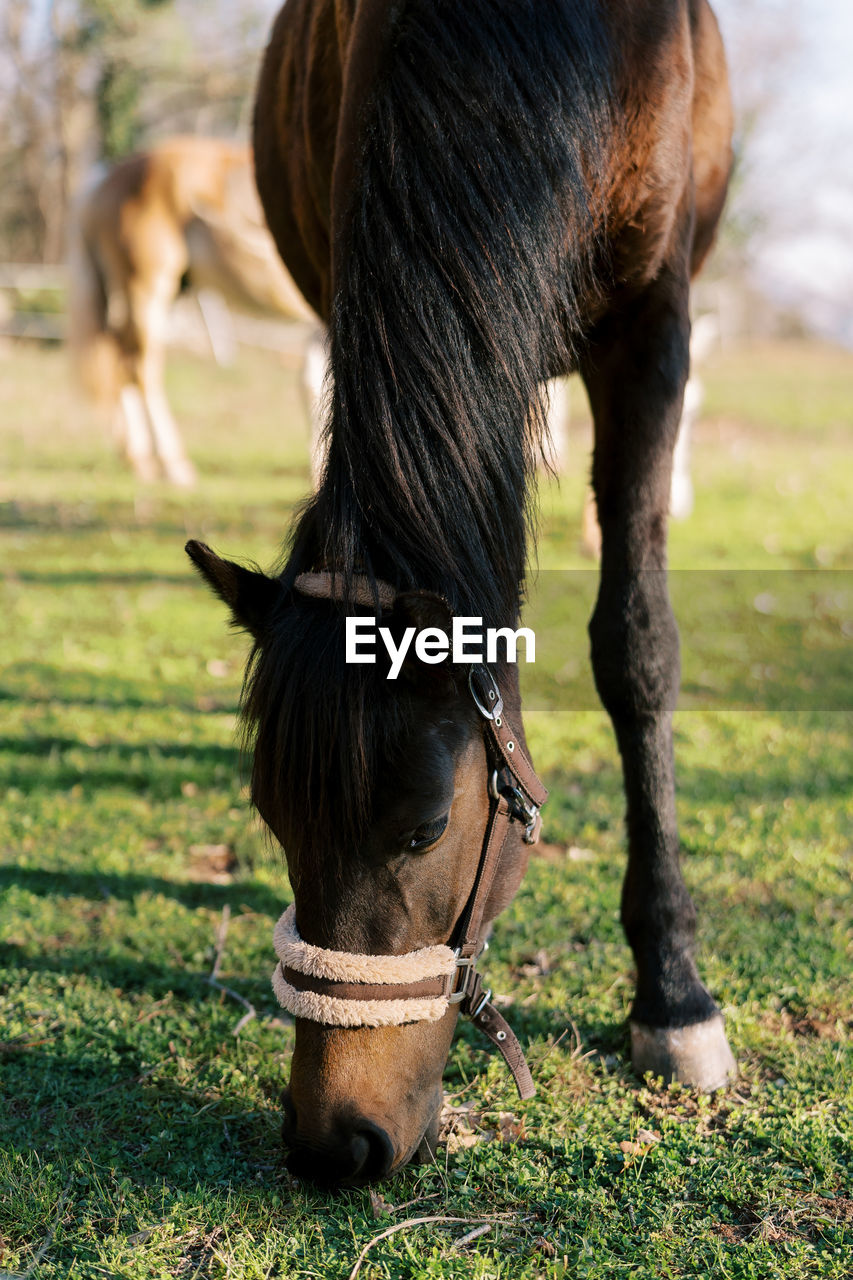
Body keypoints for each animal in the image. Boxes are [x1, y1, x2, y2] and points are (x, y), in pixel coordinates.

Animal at [68, 135, 315, 483]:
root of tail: (104, 179)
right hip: (145, 287)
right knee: (140, 368)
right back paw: (172, 464)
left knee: (119, 358)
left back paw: (137, 458)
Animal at [185, 0, 732, 1187]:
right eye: (270, 813)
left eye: (428, 825)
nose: (333, 1142)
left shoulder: (652, 329)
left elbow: (637, 646)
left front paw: (673, 991)